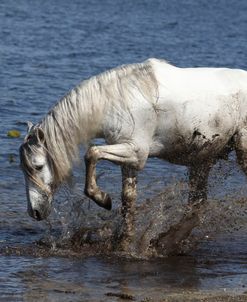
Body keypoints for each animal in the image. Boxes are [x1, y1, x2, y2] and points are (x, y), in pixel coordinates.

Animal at [19, 57, 247, 249]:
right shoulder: (129, 160)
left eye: (38, 166)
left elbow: (92, 153)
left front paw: (102, 198)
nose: (34, 212)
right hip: (201, 160)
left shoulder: (136, 152)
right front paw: (124, 242)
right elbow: (128, 199)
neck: (117, 103)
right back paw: (165, 241)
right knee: (197, 206)